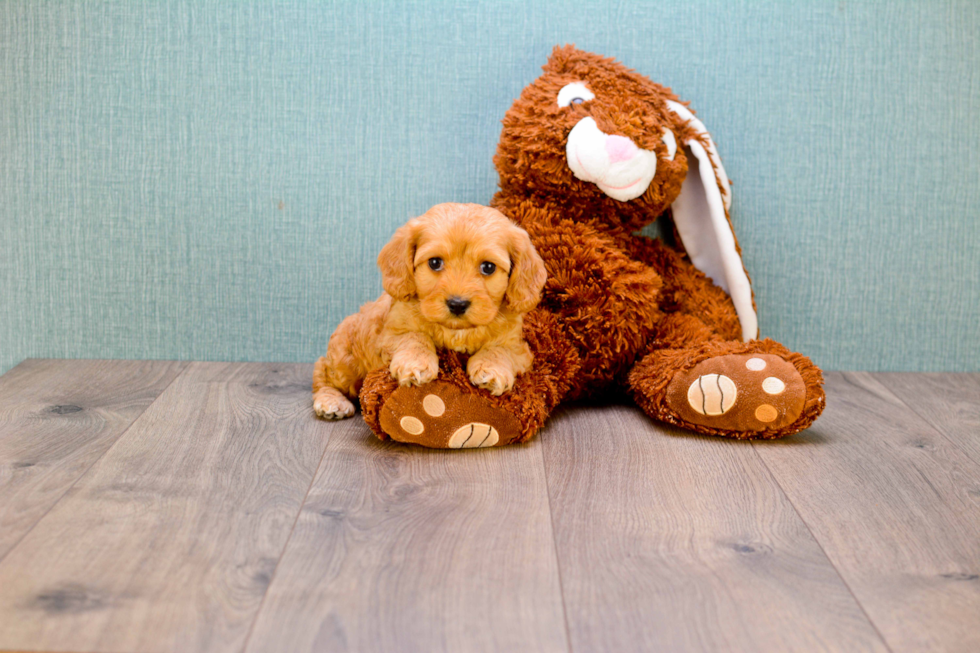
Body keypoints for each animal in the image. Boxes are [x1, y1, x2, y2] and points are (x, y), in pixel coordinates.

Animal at [312, 201, 548, 420]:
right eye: (435, 262)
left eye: (488, 267)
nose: (457, 304)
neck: (456, 331)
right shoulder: (389, 335)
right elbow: (415, 336)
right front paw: (416, 362)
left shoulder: (518, 347)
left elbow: (499, 349)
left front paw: (491, 369)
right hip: (346, 361)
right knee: (322, 371)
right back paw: (331, 401)